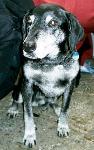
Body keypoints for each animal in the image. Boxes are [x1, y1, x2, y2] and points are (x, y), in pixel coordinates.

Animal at [7, 3, 83, 148]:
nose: (27, 47)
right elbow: (28, 114)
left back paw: (56, 108)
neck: (51, 62)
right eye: (29, 22)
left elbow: (65, 108)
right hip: (19, 90)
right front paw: (29, 135)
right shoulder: (27, 84)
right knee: (16, 99)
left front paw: (62, 126)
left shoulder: (69, 86)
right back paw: (13, 109)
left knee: (53, 102)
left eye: (53, 22)